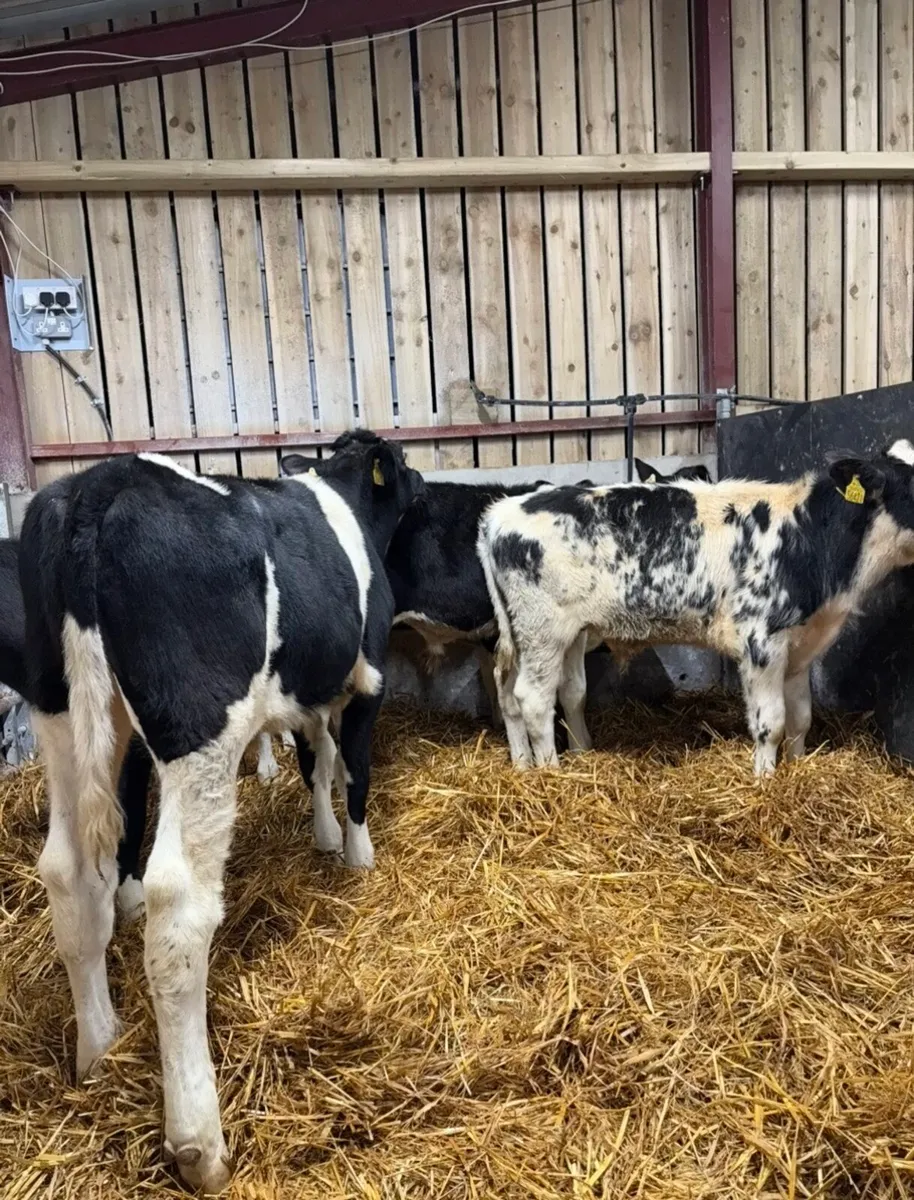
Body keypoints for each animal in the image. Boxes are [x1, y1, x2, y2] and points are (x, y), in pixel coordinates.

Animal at [19, 430, 424, 1194]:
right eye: (406, 465)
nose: (422, 483)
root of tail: (101, 484)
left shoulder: (305, 690)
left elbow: (315, 760)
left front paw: (324, 839)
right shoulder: (368, 674)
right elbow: (352, 766)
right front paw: (359, 856)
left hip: (62, 716)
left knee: (68, 875)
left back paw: (98, 1049)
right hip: (197, 727)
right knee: (178, 911)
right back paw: (198, 1142)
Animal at [478, 441, 914, 774]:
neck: (805, 536)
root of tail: (501, 512)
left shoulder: (801, 646)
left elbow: (801, 719)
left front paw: (799, 766)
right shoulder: (761, 643)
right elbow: (770, 723)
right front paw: (766, 781)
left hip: (544, 632)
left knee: (532, 692)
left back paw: (535, 762)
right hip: (543, 630)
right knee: (533, 699)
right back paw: (552, 773)